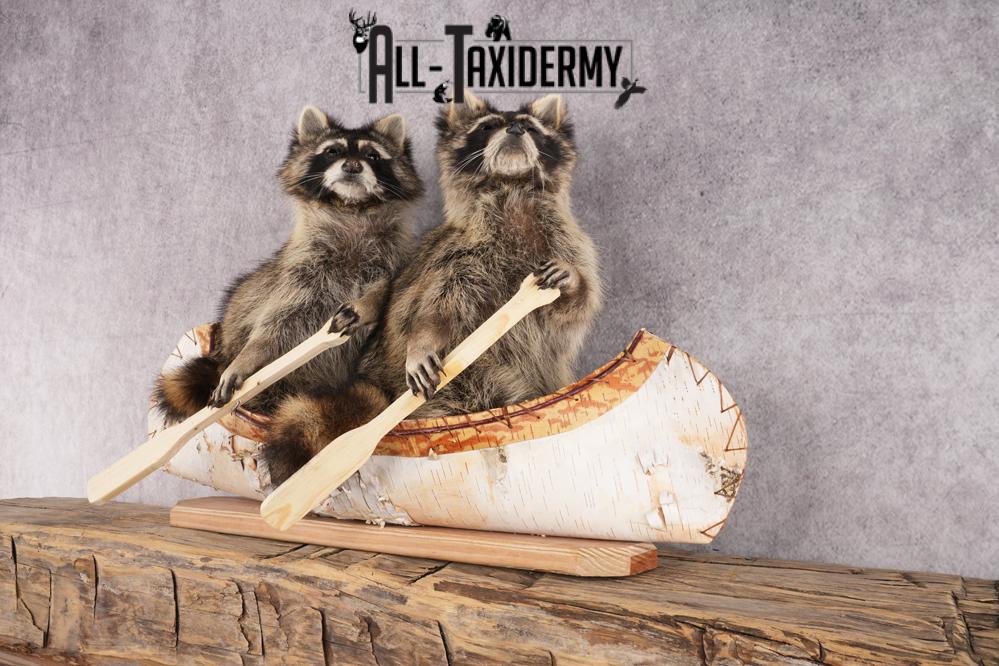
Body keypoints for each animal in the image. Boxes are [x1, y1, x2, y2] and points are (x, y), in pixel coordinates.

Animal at [153, 105, 423, 423]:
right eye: (332, 151)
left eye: (372, 155)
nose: (353, 166)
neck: (350, 209)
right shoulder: (300, 271)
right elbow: (274, 324)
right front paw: (248, 358)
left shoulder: (396, 257)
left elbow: (387, 289)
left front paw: (367, 304)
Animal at [263, 92, 602, 484]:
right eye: (488, 126)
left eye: (529, 127)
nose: (515, 129)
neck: (510, 187)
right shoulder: (456, 254)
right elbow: (434, 308)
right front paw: (423, 341)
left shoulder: (569, 243)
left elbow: (574, 309)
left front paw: (572, 285)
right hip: (460, 382)